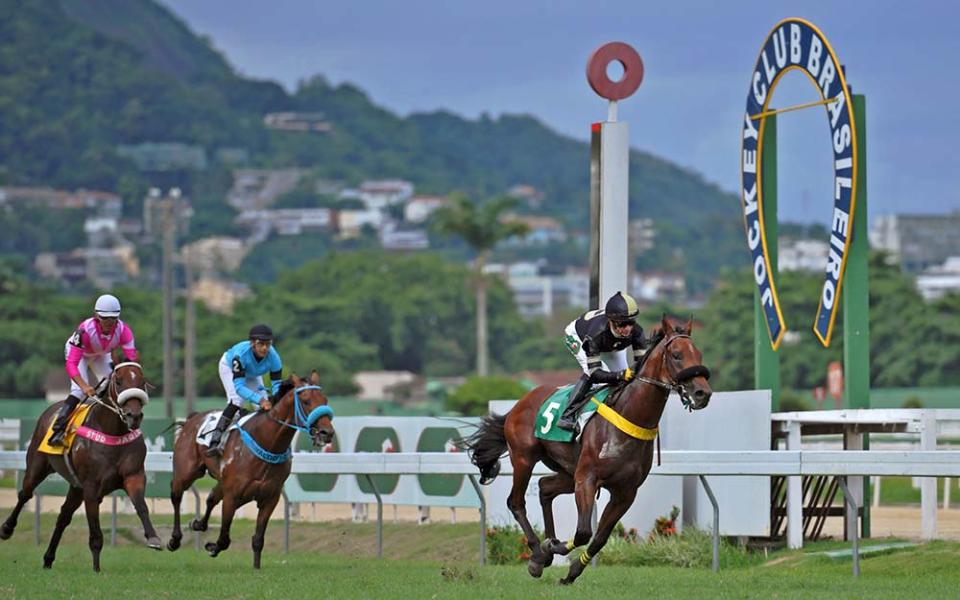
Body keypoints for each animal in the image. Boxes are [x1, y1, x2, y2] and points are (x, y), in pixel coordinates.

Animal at [0, 364, 161, 568]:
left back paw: (48, 559)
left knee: (63, 516)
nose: (134, 416)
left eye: (142, 381)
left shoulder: (133, 476)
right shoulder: (91, 487)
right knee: (25, 494)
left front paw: (153, 538)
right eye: (118, 382)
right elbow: (95, 533)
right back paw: (6, 529)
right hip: (37, 466)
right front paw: (97, 570)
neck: (112, 431)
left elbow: (141, 506)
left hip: (76, 487)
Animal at [163, 370, 332, 568]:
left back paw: (198, 524)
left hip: (223, 482)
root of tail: (193, 418)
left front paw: (256, 568)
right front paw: (212, 546)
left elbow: (258, 539)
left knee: (211, 498)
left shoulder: (269, 498)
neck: (267, 443)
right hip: (187, 472)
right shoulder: (233, 496)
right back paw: (174, 539)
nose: (327, 433)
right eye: (306, 401)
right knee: (176, 495)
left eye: (325, 400)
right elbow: (224, 538)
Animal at [464, 316, 712, 584]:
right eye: (676, 355)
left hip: (566, 469)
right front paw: (553, 548)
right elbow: (584, 532)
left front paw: (570, 572)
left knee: (545, 488)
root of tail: (519, 404)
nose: (703, 393)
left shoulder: (625, 491)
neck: (630, 416)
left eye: (698, 354)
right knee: (516, 502)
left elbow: (600, 538)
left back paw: (544, 552)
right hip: (524, 459)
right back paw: (538, 553)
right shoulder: (587, 478)